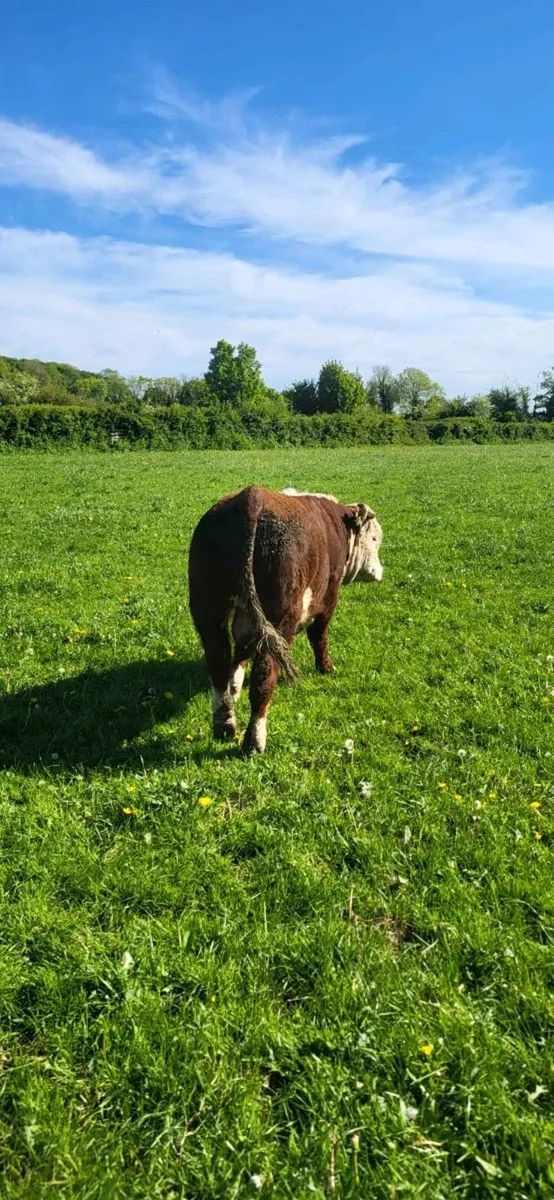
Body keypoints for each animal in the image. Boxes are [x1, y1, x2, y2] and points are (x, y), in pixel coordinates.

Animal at [188, 485, 383, 755]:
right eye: (375, 539)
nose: (379, 572)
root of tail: (252, 497)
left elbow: (241, 653)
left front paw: (235, 685)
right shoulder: (328, 599)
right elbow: (319, 637)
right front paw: (327, 668)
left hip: (209, 612)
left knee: (218, 663)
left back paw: (224, 725)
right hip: (279, 619)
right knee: (264, 676)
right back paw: (255, 741)